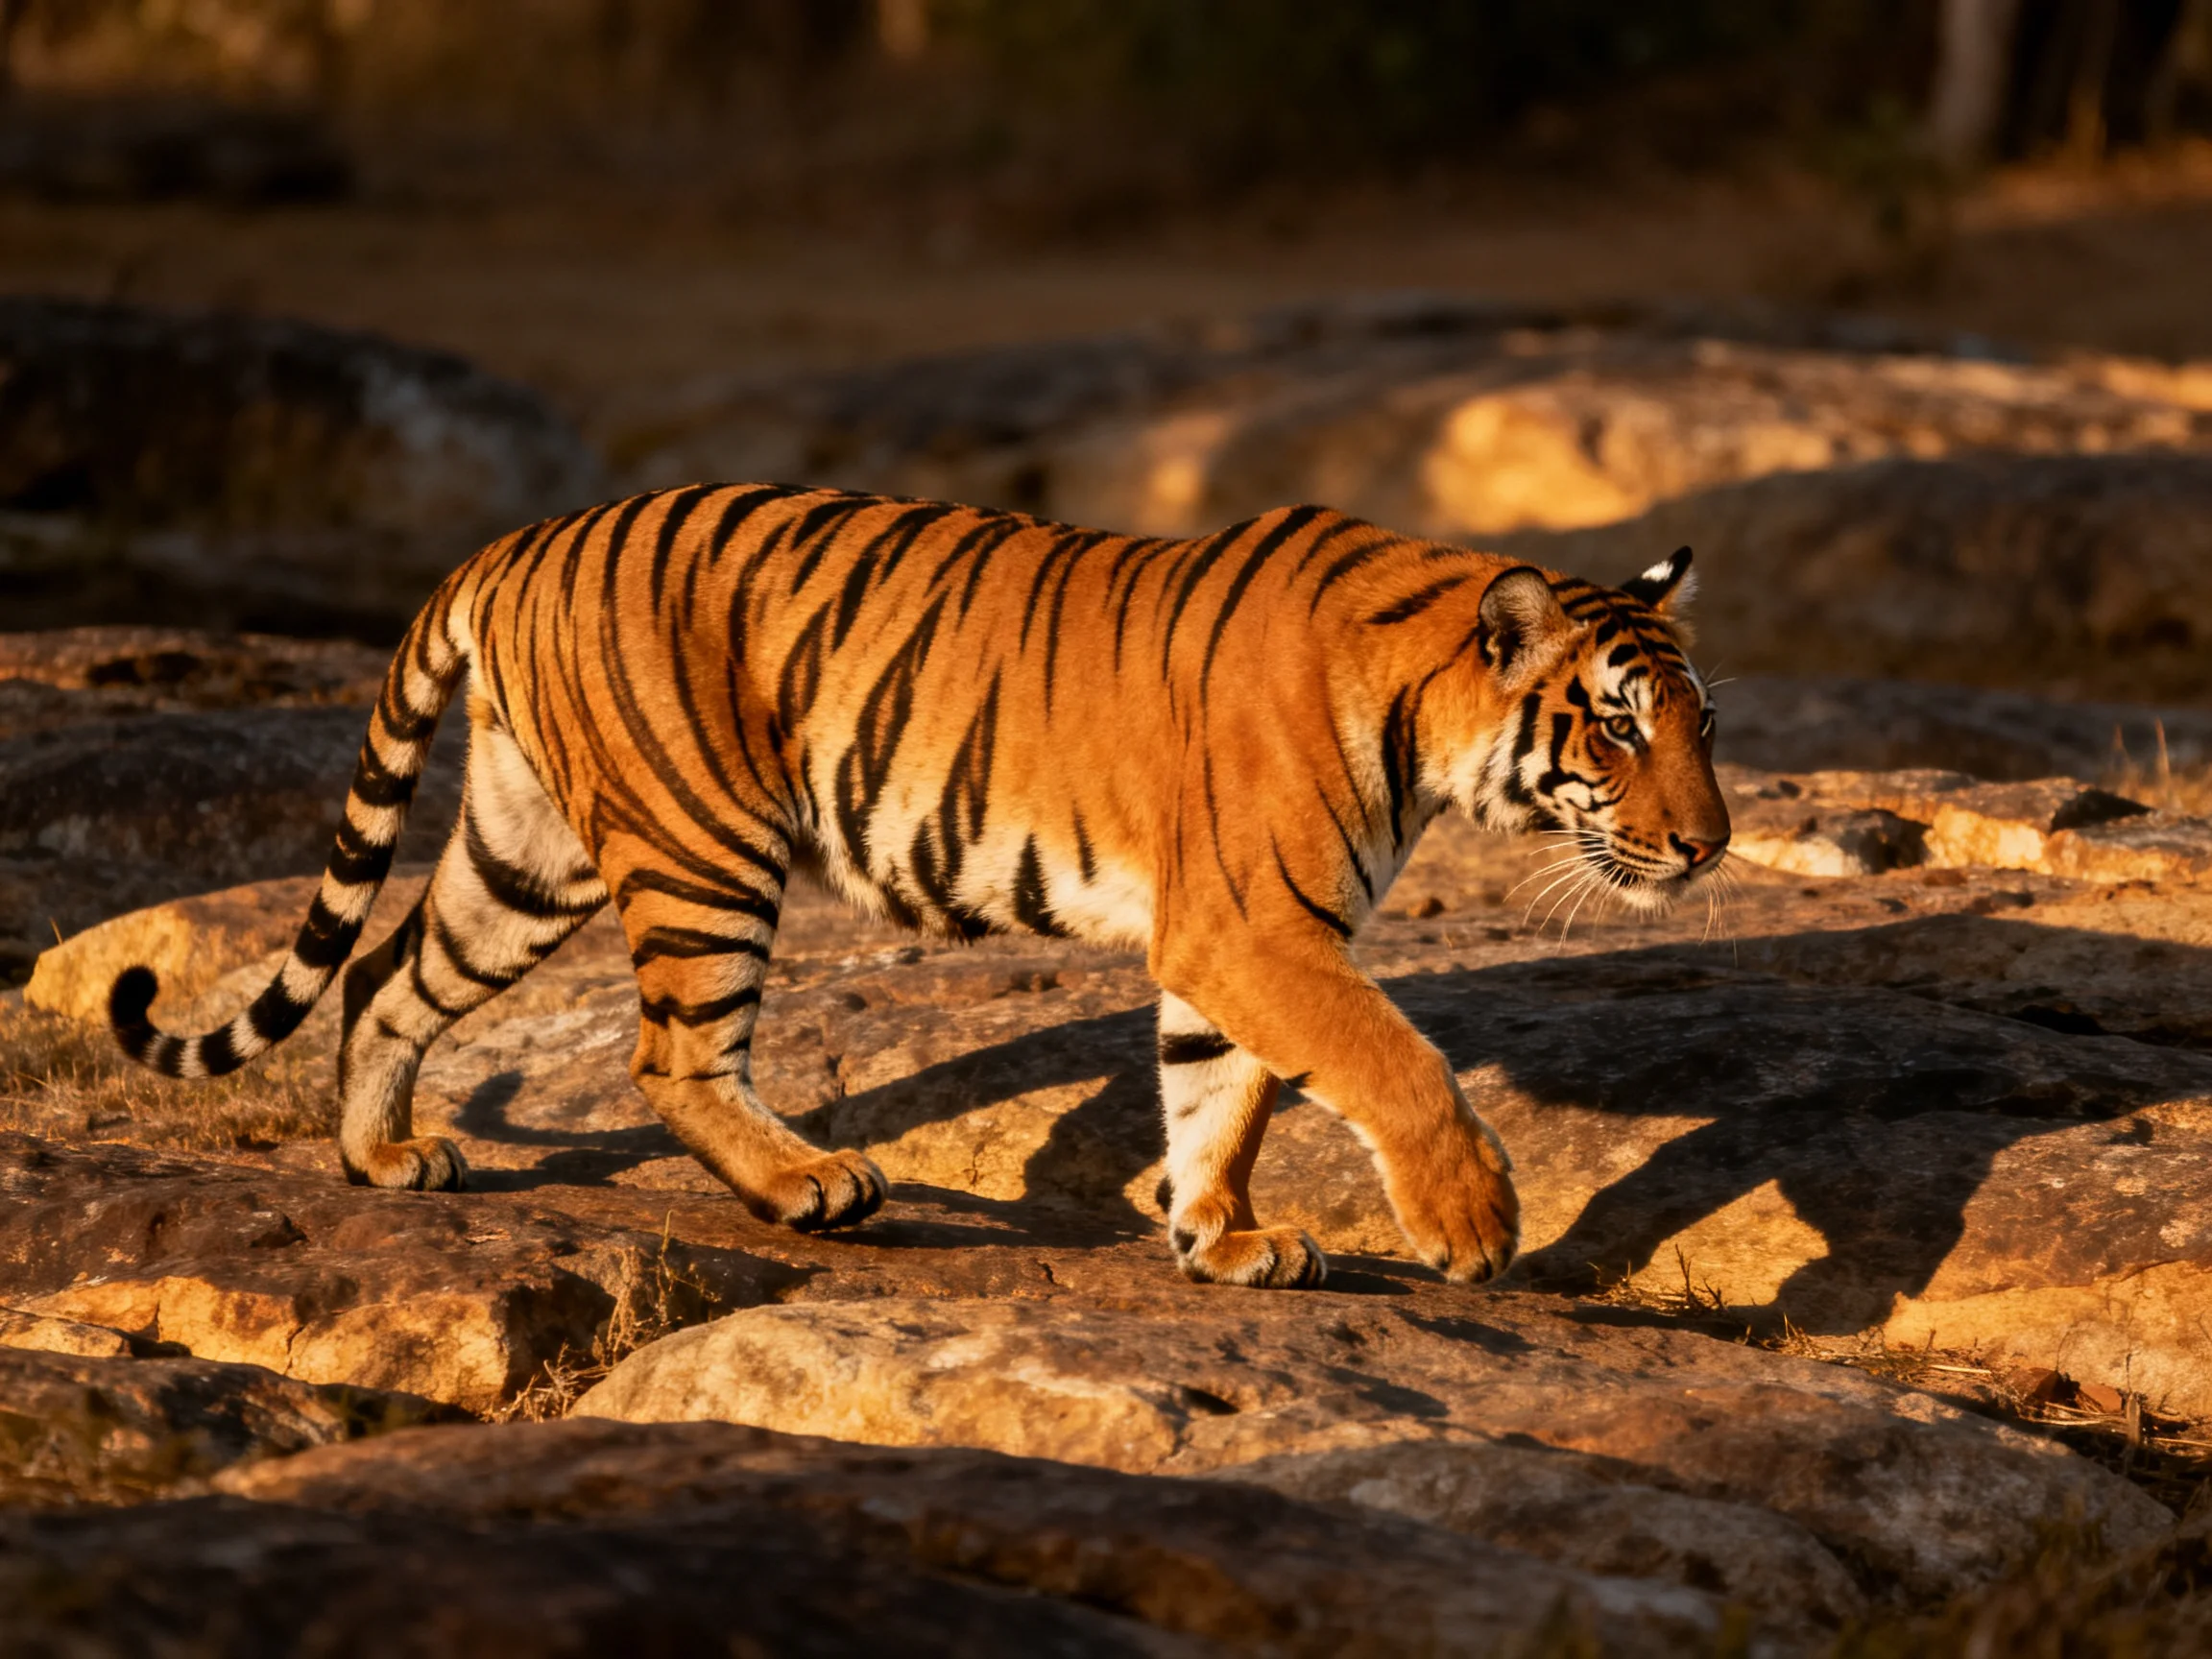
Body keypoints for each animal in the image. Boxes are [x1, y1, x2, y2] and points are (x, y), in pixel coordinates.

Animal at [109, 486, 1729, 1288]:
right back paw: (809, 1185)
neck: (1427, 724)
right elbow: (1391, 1060)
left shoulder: (1237, 946)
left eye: (1703, 724)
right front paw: (1471, 1223)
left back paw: (383, 1157)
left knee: (388, 978)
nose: (1709, 844)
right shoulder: (1257, 927)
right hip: (702, 843)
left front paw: (1220, 1239)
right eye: (1618, 725)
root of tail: (523, 535)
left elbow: (1219, 1093)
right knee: (671, 1054)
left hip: (527, 852)